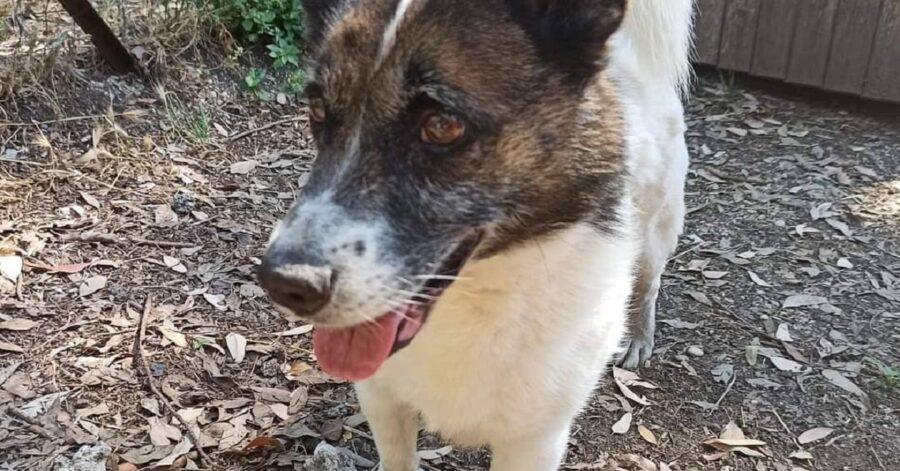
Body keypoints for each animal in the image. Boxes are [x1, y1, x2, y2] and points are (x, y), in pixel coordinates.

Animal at [256, 0, 692, 468]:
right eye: (318, 110)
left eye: (441, 125)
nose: (285, 283)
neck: (478, 292)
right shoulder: (382, 400)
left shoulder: (534, 442)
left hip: (656, 234)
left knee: (649, 284)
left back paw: (639, 337)